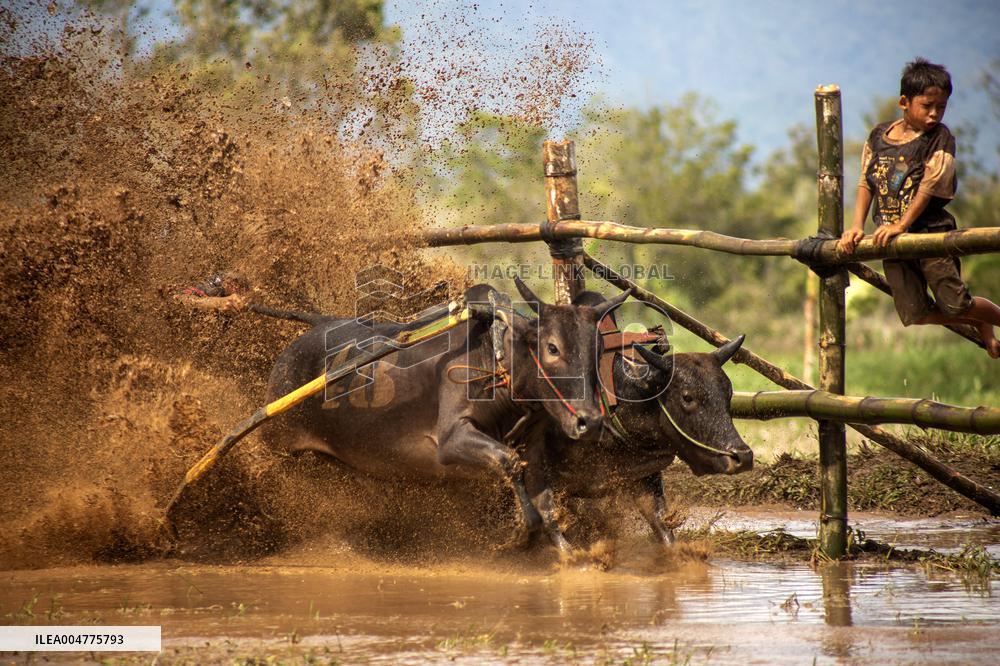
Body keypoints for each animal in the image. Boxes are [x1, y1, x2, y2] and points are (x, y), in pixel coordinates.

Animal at [260, 278, 625, 552]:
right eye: (552, 348)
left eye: (598, 350)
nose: (590, 421)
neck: (495, 357)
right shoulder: (451, 440)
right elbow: (508, 463)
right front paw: (519, 536)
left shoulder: (533, 444)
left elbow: (547, 504)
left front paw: (571, 555)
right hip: (276, 442)